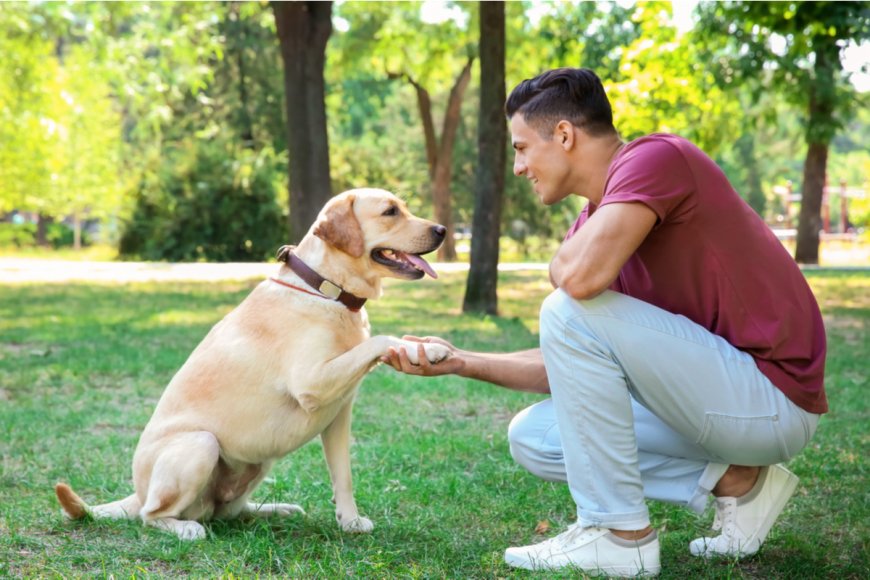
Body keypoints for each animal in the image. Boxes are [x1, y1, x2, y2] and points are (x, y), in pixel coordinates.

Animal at [56, 187, 450, 540]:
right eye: (390, 212)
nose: (443, 230)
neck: (327, 290)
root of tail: (137, 493)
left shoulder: (339, 412)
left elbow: (344, 475)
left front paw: (350, 521)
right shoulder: (313, 382)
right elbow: (380, 340)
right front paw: (424, 351)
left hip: (258, 460)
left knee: (228, 512)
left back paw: (276, 509)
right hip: (200, 444)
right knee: (152, 516)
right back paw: (184, 529)